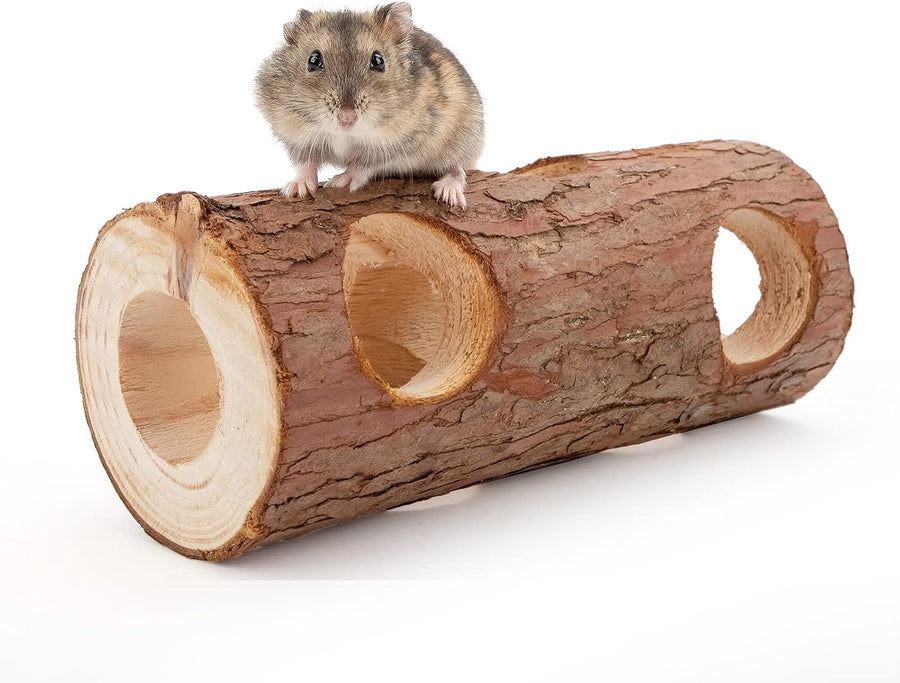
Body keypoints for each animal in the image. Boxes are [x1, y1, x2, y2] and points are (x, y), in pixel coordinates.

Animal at [255, 3, 484, 209]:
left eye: (378, 60)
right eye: (313, 60)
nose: (347, 119)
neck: (345, 134)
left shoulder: (400, 142)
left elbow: (363, 164)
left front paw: (341, 182)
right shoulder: (295, 135)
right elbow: (305, 162)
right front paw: (296, 188)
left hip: (464, 139)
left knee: (457, 168)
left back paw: (449, 193)